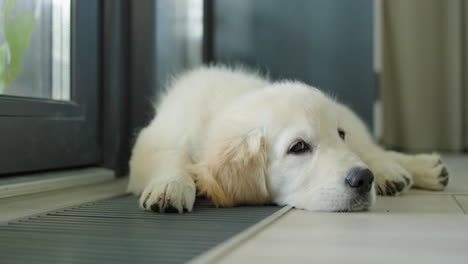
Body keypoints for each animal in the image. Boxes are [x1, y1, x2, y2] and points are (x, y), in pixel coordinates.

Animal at [127, 66, 450, 212]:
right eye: (299, 147)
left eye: (339, 135)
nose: (364, 179)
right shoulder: (154, 139)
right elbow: (170, 155)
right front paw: (170, 185)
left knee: (372, 150)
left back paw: (403, 171)